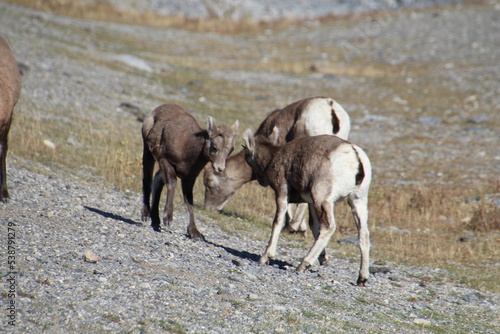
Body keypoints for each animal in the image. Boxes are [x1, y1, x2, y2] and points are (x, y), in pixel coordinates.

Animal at [140, 103, 239, 237]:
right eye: (214, 147)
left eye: (231, 149)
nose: (220, 168)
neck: (188, 150)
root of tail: (155, 111)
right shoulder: (165, 161)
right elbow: (172, 184)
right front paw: (168, 219)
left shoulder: (189, 178)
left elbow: (189, 201)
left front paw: (194, 233)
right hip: (148, 152)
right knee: (147, 179)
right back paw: (146, 216)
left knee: (157, 180)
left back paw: (155, 221)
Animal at [242, 126, 372, 286]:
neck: (274, 157)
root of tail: (355, 156)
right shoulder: (310, 203)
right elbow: (314, 227)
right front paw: (323, 258)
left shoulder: (282, 192)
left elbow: (277, 222)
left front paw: (265, 257)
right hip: (357, 201)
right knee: (363, 234)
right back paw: (362, 278)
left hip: (323, 200)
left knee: (329, 227)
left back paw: (303, 264)